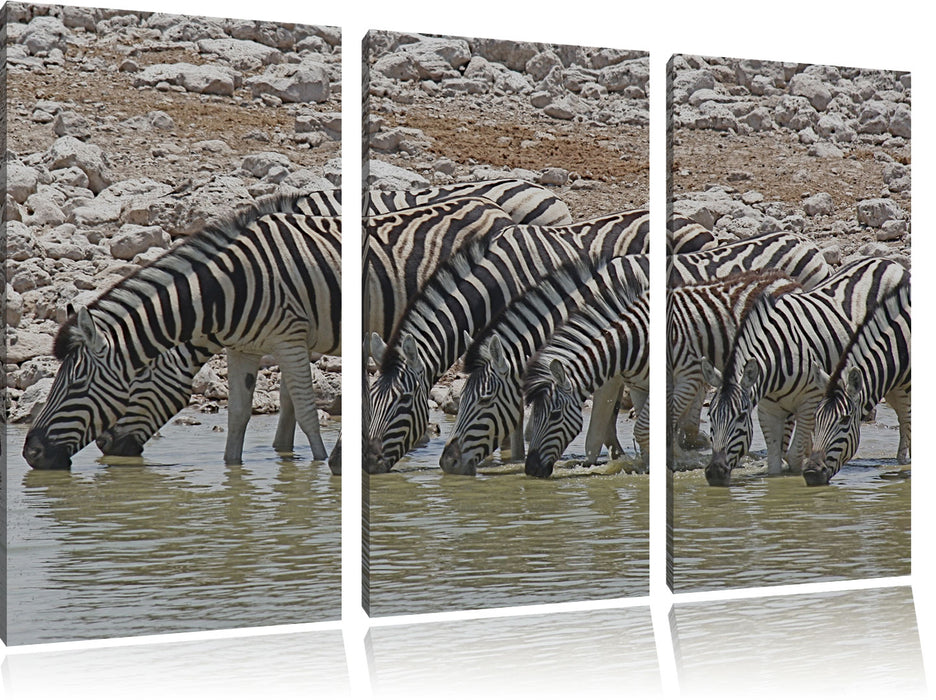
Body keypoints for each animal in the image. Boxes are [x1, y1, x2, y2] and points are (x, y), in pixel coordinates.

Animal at [22, 193, 342, 470]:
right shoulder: (275, 338)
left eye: (78, 385)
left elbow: (301, 401)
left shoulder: (296, 332)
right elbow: (265, 403)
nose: (31, 453)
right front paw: (263, 458)